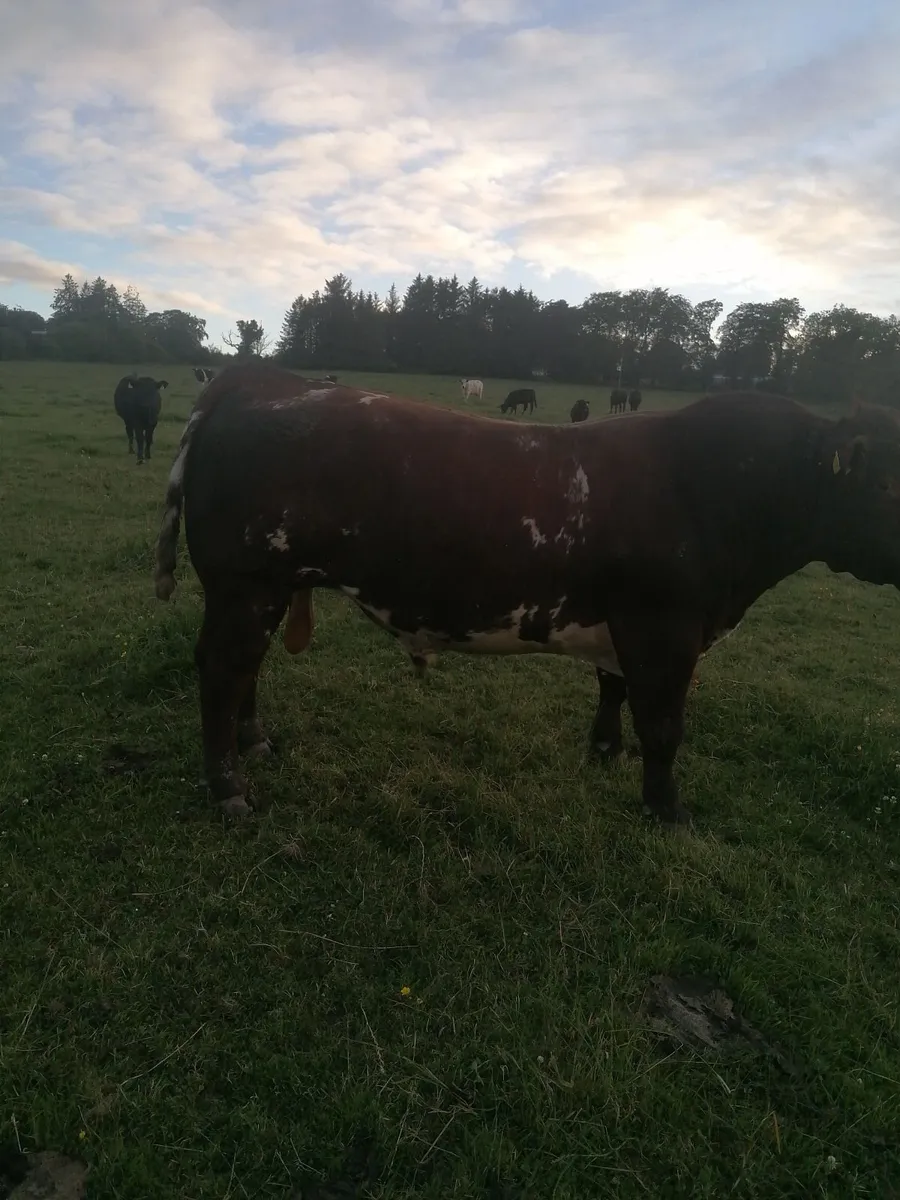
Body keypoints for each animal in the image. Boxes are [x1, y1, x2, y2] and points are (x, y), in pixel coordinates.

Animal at [154, 362, 900, 828]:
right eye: (890, 481)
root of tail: (255, 379)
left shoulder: (628, 625)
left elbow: (613, 691)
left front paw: (605, 753)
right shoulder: (665, 626)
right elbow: (663, 726)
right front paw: (669, 810)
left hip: (267, 587)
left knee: (245, 669)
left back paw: (255, 743)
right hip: (244, 583)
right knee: (222, 670)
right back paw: (228, 787)